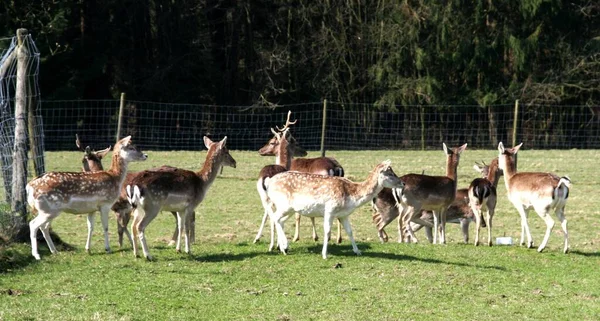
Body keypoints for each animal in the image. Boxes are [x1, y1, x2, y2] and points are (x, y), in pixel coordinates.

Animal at [255, 110, 344, 242]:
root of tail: (336, 167)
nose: (260, 150)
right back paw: (337, 238)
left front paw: (297, 237)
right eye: (296, 141)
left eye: (271, 142)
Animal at [266, 159, 404, 258]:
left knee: (279, 220)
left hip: (290, 209)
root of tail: (269, 182)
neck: (352, 196)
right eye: (390, 173)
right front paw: (324, 254)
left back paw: (282, 248)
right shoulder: (330, 210)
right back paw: (284, 246)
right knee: (274, 218)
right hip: (283, 204)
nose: (403, 183)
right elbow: (327, 232)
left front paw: (357, 251)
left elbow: (350, 231)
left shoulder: (344, 214)